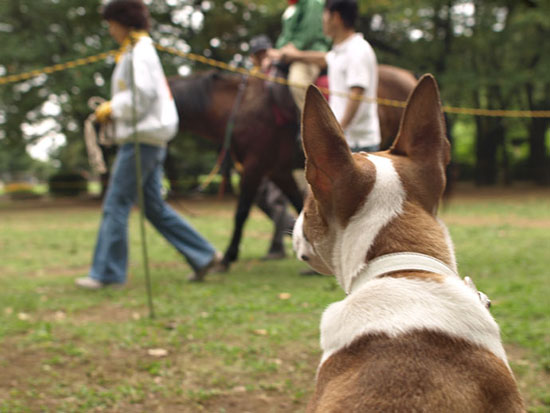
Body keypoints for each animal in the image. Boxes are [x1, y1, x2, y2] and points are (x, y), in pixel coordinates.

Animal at [168, 64, 418, 268]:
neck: (239, 107)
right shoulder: (278, 171)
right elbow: (298, 204)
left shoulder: (254, 167)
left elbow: (241, 212)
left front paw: (228, 257)